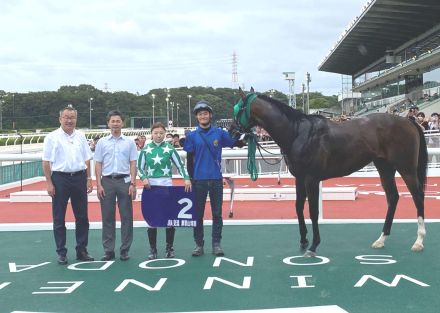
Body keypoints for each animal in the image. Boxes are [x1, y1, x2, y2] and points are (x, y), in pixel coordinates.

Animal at [232, 88, 428, 256]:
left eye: (238, 108)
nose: (233, 132)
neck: (298, 133)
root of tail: (408, 121)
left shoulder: (311, 179)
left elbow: (313, 211)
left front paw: (313, 245)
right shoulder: (299, 178)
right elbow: (298, 207)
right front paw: (303, 241)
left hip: (406, 168)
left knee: (418, 197)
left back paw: (419, 241)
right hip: (385, 167)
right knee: (393, 197)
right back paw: (381, 239)